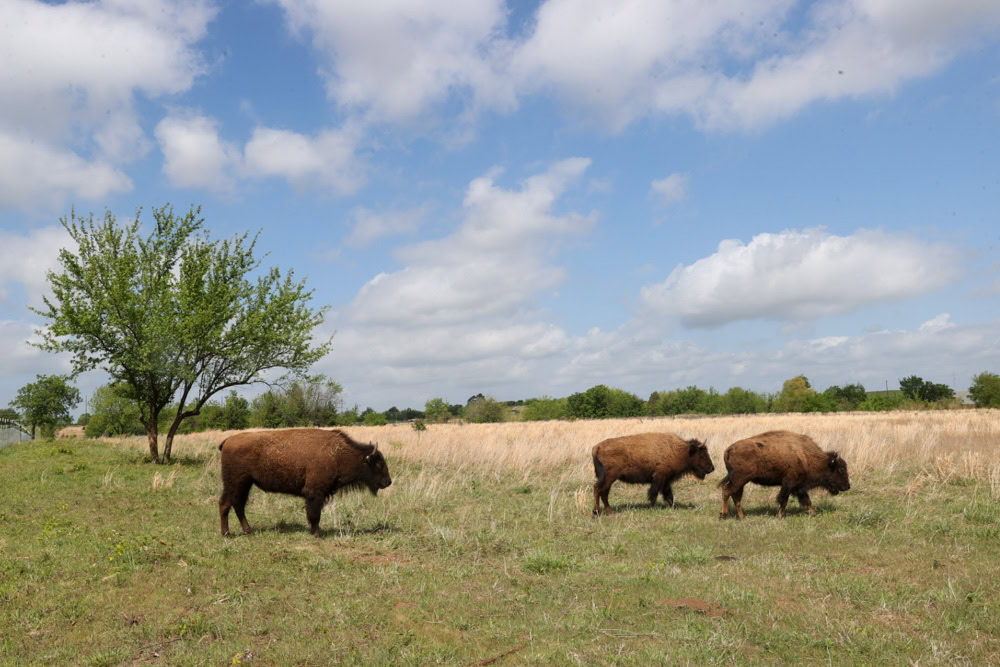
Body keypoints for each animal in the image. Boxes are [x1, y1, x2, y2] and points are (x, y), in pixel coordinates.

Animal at [218, 428, 392, 537]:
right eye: (378, 464)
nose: (388, 482)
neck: (338, 454)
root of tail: (227, 441)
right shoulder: (315, 493)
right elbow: (314, 514)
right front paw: (317, 533)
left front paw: (315, 531)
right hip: (237, 483)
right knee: (229, 504)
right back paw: (229, 533)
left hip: (243, 484)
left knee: (235, 505)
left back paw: (244, 531)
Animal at [718, 430, 850, 520]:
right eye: (841, 470)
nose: (847, 486)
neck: (805, 456)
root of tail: (728, 450)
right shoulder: (789, 483)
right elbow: (784, 499)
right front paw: (780, 516)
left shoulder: (798, 486)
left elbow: (807, 500)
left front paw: (813, 513)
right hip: (740, 479)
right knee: (727, 491)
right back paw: (724, 515)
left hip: (740, 482)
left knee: (735, 496)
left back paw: (742, 517)